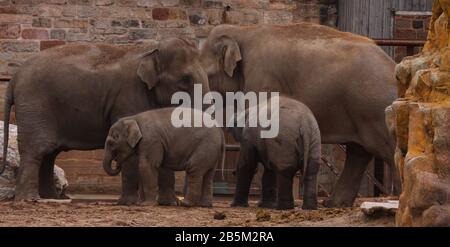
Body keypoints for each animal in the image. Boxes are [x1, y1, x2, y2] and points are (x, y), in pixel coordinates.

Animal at [0, 38, 209, 205]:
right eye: (185, 79)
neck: (152, 49)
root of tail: (14, 78)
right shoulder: (128, 97)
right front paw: (129, 203)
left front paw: (169, 203)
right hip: (35, 105)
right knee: (37, 149)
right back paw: (29, 200)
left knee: (49, 153)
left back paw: (51, 198)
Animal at [201, 24, 398, 207]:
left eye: (207, 74)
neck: (243, 30)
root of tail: (393, 66)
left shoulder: (262, 79)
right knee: (358, 152)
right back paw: (333, 204)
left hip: (375, 110)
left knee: (386, 149)